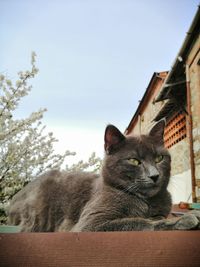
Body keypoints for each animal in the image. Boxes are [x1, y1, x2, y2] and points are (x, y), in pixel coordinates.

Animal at [7, 121, 200, 232]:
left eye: (159, 158)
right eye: (134, 161)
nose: (154, 175)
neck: (146, 202)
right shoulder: (91, 223)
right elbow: (140, 222)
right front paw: (182, 220)